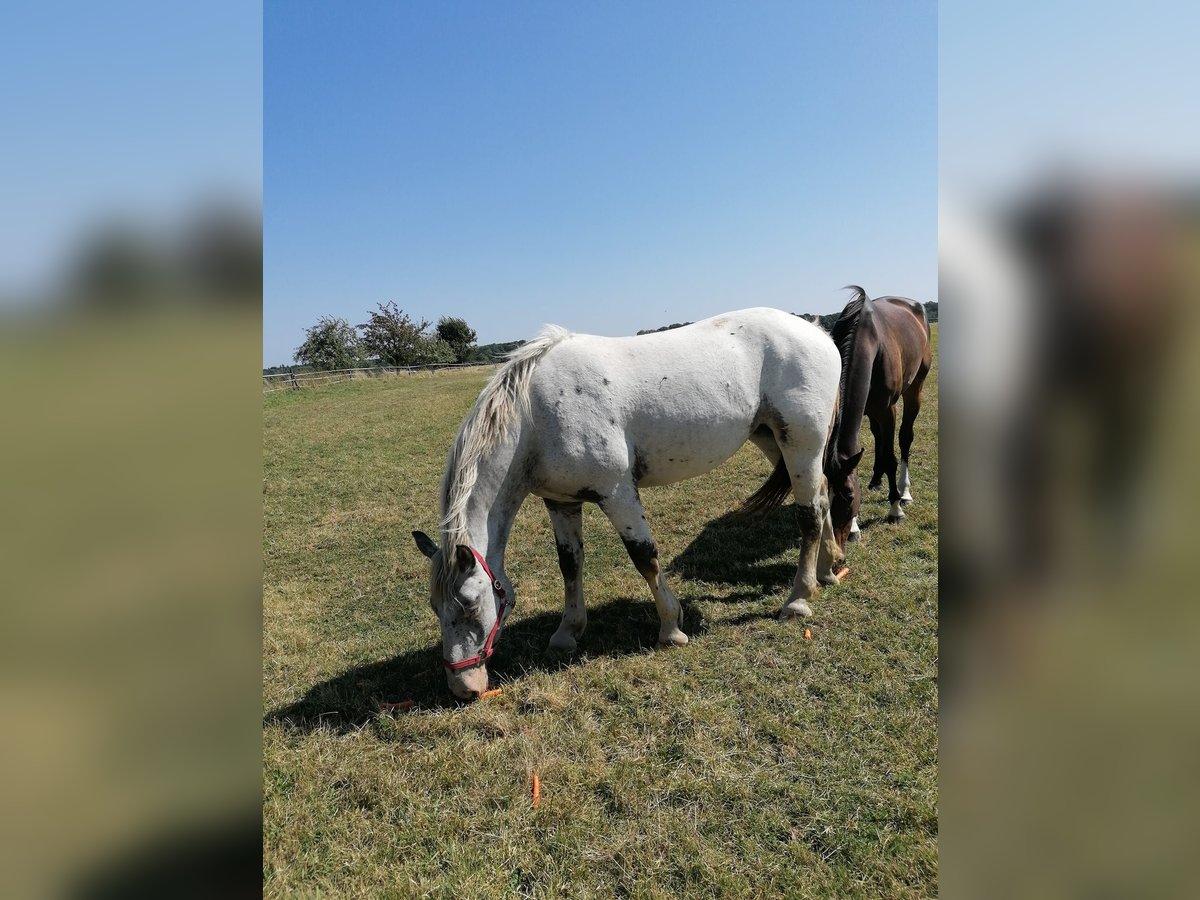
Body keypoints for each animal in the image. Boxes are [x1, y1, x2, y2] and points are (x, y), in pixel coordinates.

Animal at [412, 307, 844, 700]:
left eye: (470, 604)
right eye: (435, 606)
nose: (464, 689)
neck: (536, 415)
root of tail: (816, 331)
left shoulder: (617, 492)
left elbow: (645, 558)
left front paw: (671, 628)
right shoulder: (561, 502)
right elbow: (570, 565)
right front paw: (567, 633)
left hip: (800, 444)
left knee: (808, 515)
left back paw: (798, 600)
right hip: (774, 441)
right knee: (823, 497)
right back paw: (829, 569)